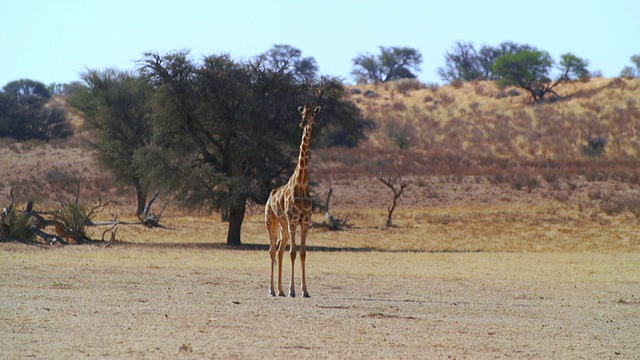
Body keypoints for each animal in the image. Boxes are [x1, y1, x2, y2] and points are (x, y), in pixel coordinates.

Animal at [266, 102, 322, 298]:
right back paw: (272, 290)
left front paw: (304, 290)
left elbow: (303, 253)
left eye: (313, 114)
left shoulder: (305, 220)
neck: (302, 182)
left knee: (279, 250)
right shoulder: (293, 219)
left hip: (284, 226)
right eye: (302, 113)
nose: (303, 123)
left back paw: (280, 290)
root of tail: (269, 197)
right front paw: (292, 290)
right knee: (272, 250)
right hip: (272, 222)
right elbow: (293, 252)